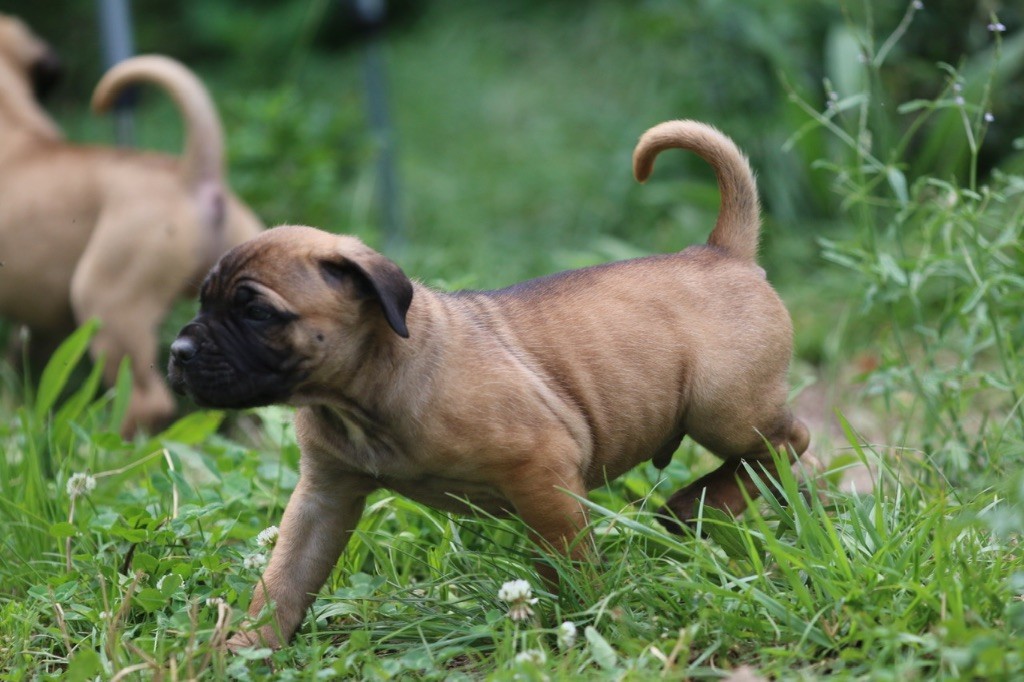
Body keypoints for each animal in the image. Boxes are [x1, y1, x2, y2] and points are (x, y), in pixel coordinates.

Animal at [165, 118, 806, 647]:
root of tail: (720, 251)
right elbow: (283, 581)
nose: (178, 351)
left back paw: (706, 501)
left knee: (787, 443)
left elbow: (574, 561)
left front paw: (591, 617)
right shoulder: (325, 495)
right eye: (202, 302)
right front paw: (245, 648)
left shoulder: (542, 473)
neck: (363, 391)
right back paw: (694, 507)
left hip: (722, 406)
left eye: (257, 312)